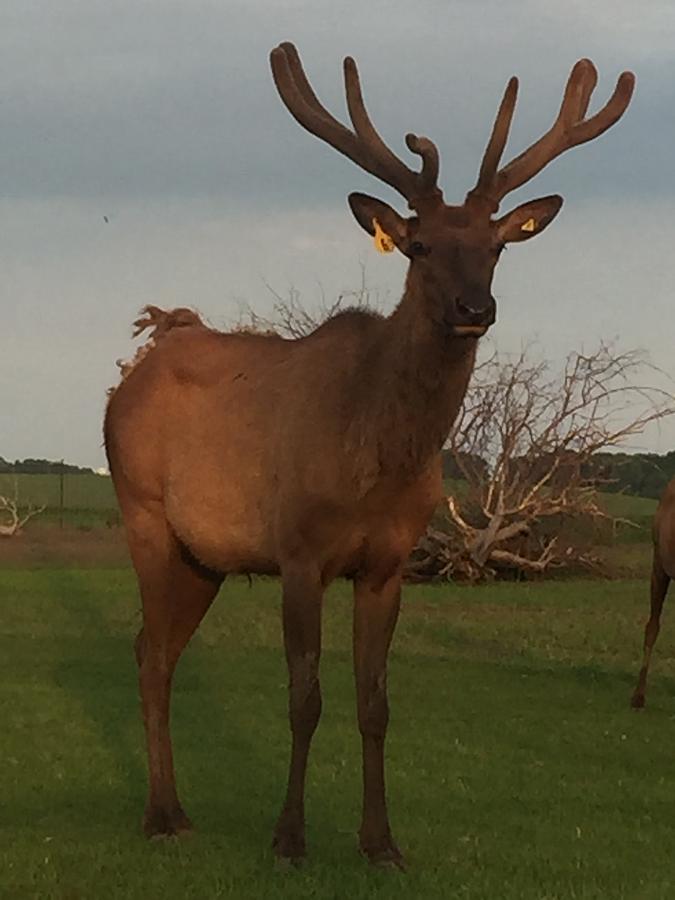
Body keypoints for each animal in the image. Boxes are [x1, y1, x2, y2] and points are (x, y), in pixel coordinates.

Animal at [104, 45, 632, 868]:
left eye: (495, 247)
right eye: (418, 246)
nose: (475, 309)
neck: (374, 464)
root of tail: (139, 363)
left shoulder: (387, 562)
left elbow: (374, 702)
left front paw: (380, 842)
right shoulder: (297, 550)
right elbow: (305, 697)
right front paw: (289, 839)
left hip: (204, 555)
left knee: (149, 648)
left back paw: (175, 808)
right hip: (143, 511)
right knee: (152, 655)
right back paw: (163, 814)